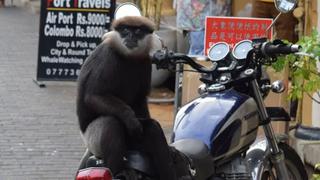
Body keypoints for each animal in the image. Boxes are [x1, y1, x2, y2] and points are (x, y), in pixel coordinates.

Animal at [76, 15, 179, 180]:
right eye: (125, 30)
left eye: (137, 31)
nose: (130, 36)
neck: (128, 56)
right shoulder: (107, 57)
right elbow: (94, 96)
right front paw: (130, 118)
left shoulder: (145, 61)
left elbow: (139, 99)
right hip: (93, 140)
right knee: (110, 123)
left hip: (132, 143)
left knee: (152, 129)